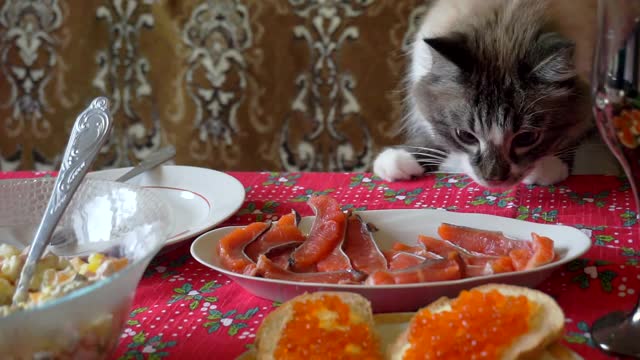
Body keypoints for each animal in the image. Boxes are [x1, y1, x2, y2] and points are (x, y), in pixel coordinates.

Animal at [376, 0, 596, 190]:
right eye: (465, 135)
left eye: (526, 138)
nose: (494, 180)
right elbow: (432, 137)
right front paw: (399, 159)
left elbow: (571, 135)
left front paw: (549, 165)